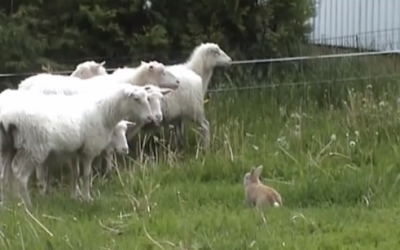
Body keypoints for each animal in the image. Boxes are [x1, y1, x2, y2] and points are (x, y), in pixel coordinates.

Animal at [0, 84, 153, 209]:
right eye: (136, 99)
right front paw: (87, 199)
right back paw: (28, 207)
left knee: (3, 175)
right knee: (20, 175)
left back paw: (6, 206)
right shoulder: (89, 149)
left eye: (147, 98)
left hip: (7, 147)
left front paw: (74, 197)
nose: (150, 118)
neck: (103, 112)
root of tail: (6, 116)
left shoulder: (74, 151)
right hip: (32, 147)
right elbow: (86, 175)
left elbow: (75, 173)